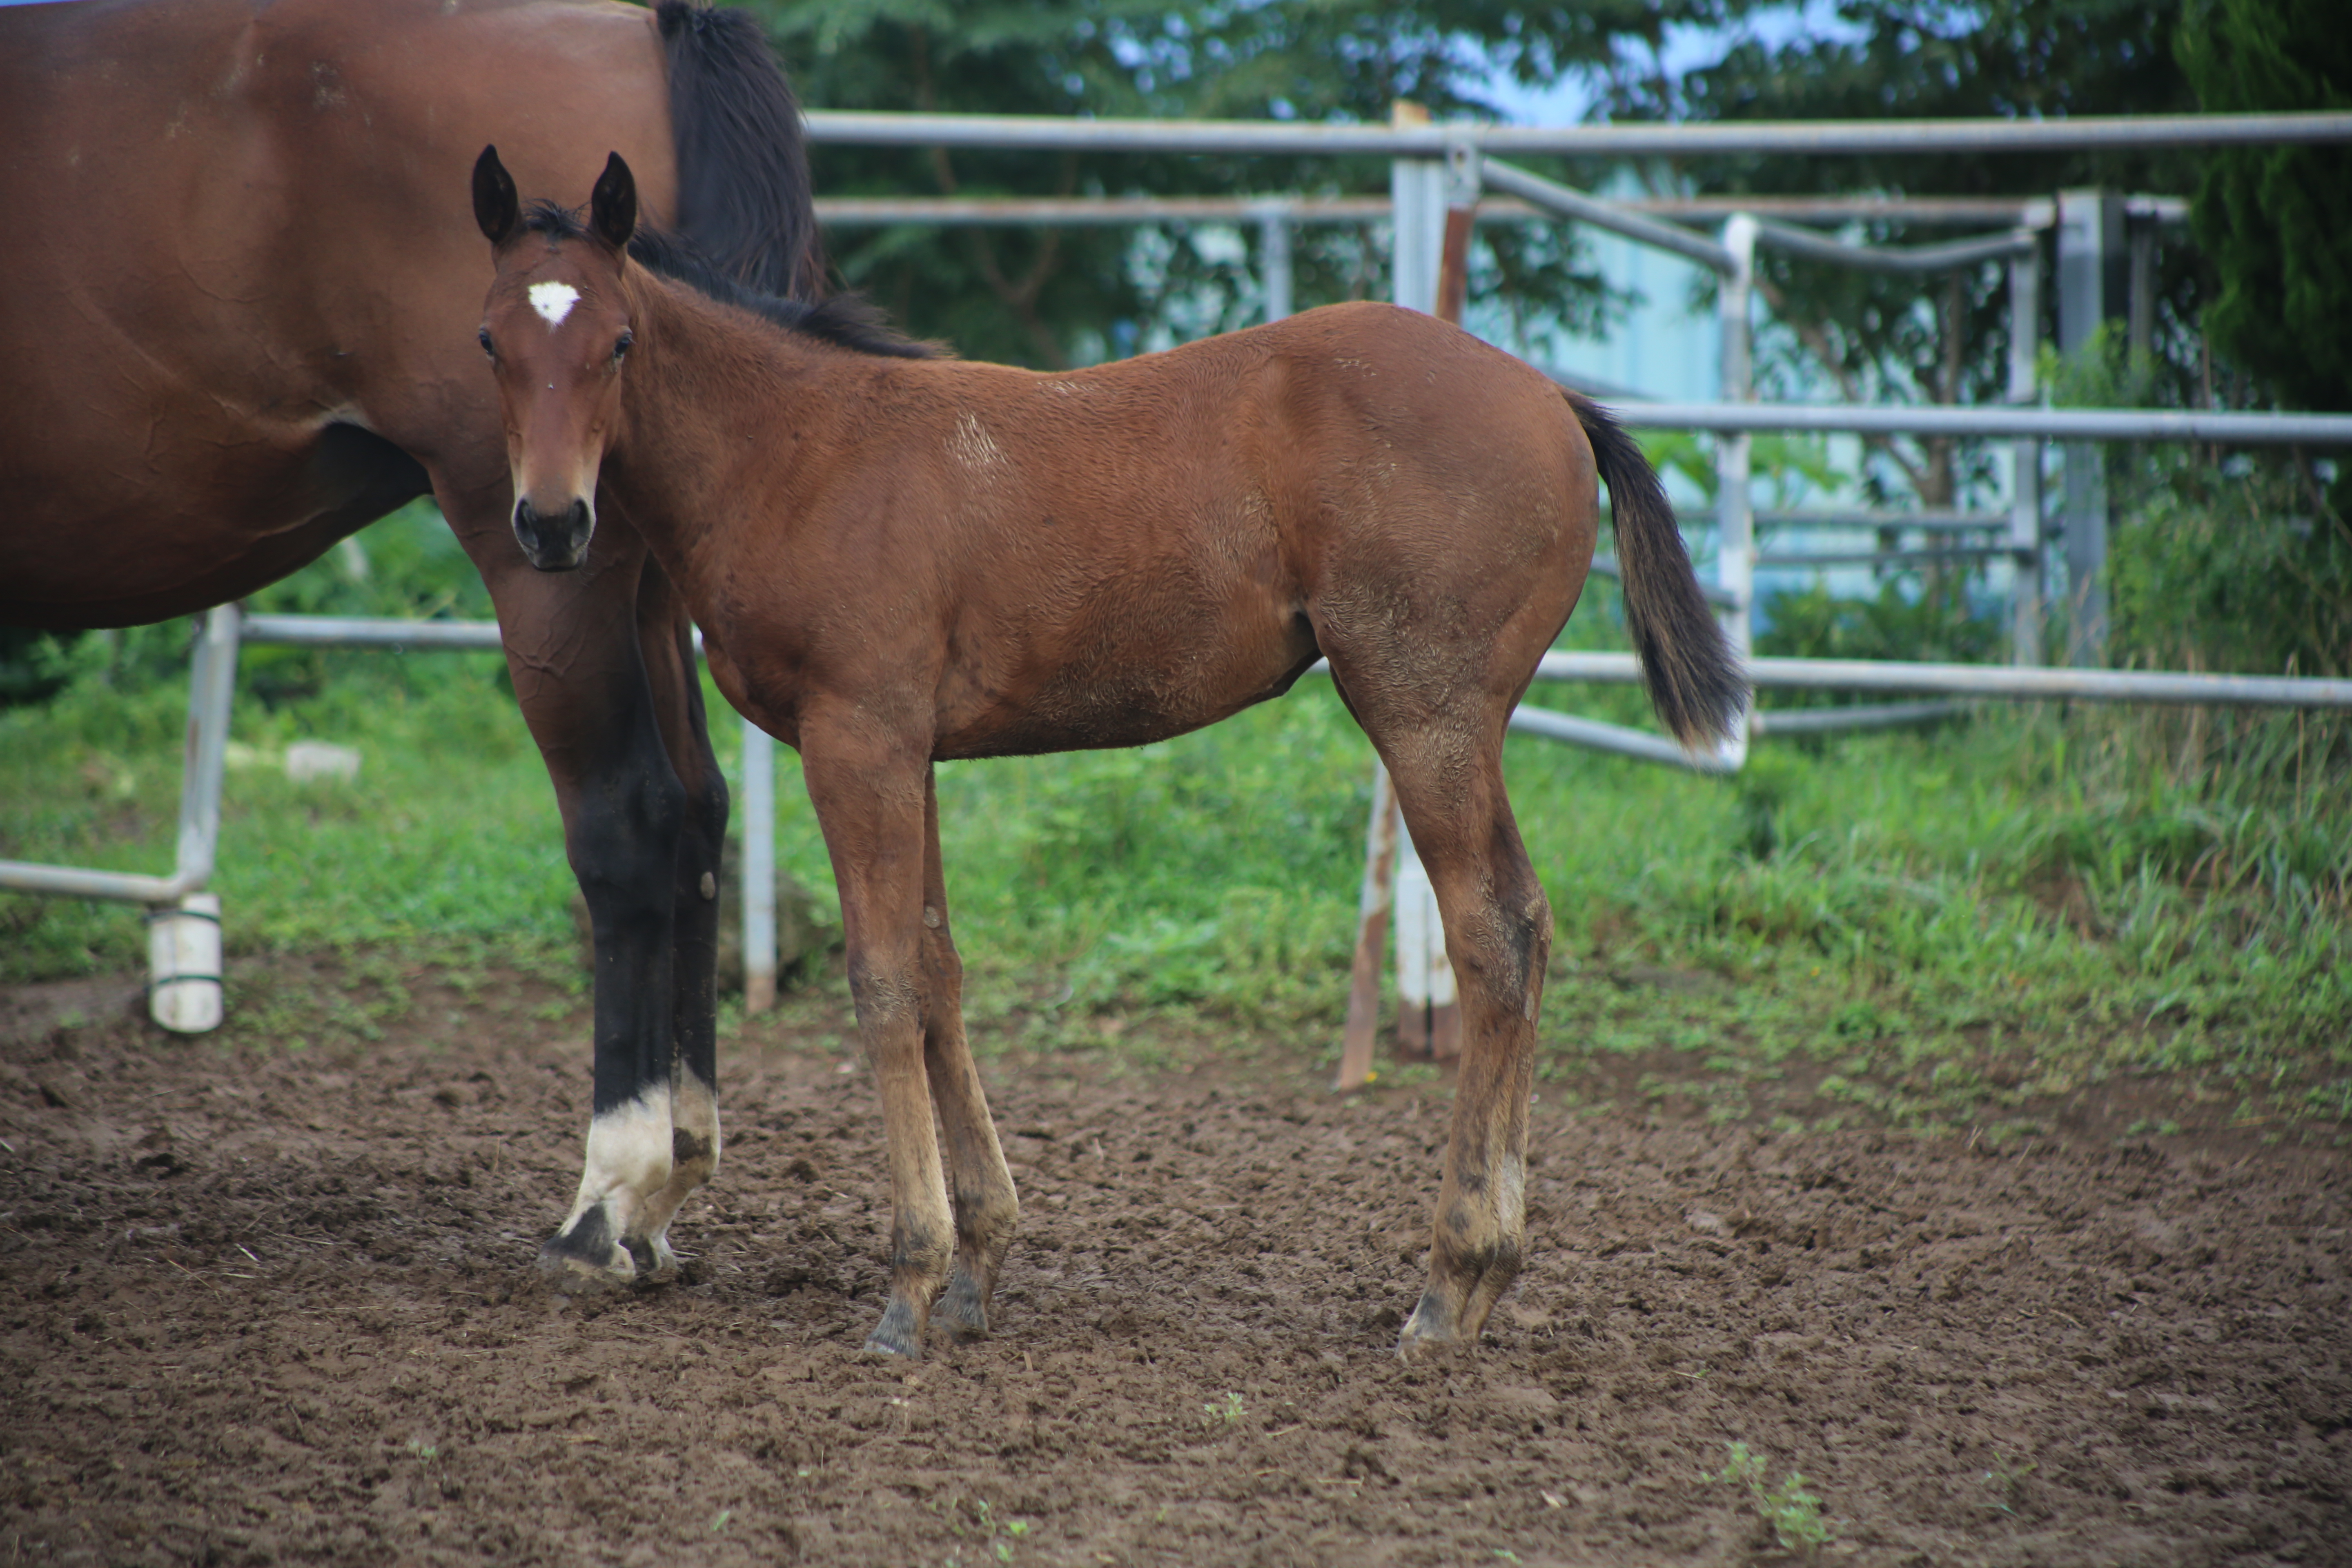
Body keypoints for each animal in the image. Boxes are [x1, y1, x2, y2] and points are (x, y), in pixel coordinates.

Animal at [0, 3, 823, 1288]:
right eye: (493, 338)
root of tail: (647, 25)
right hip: (630, 570)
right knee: (696, 809)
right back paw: (667, 1187)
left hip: (551, 559)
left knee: (631, 821)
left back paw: (607, 1199)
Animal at [472, 150, 1750, 1363]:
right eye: (491, 339)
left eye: (619, 340)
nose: (552, 524)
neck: (802, 451)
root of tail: (1550, 396)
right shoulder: (913, 751)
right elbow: (937, 971)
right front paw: (978, 1269)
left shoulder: (858, 737)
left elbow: (882, 984)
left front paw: (908, 1289)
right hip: (1461, 726)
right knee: (1526, 923)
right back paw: (1486, 1280)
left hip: (1423, 712)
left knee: (1489, 937)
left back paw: (1449, 1284)